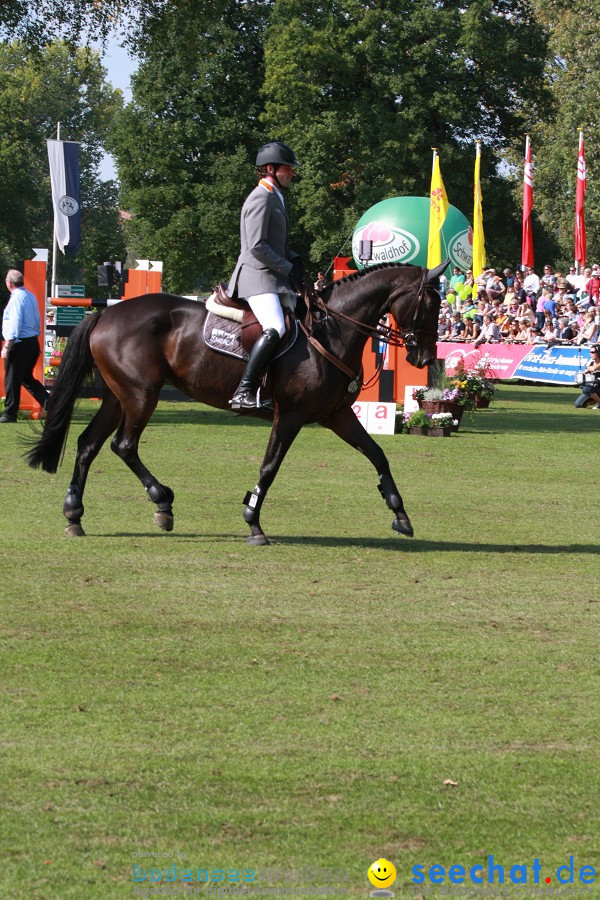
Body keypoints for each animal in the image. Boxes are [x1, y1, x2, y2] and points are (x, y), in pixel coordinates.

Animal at [25, 260, 446, 540]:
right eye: (430, 304)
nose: (425, 358)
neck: (331, 330)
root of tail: (106, 315)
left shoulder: (338, 414)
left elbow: (378, 454)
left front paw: (400, 514)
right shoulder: (290, 415)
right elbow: (269, 467)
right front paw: (253, 520)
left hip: (118, 396)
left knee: (88, 445)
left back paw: (75, 514)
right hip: (141, 395)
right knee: (123, 445)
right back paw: (162, 502)